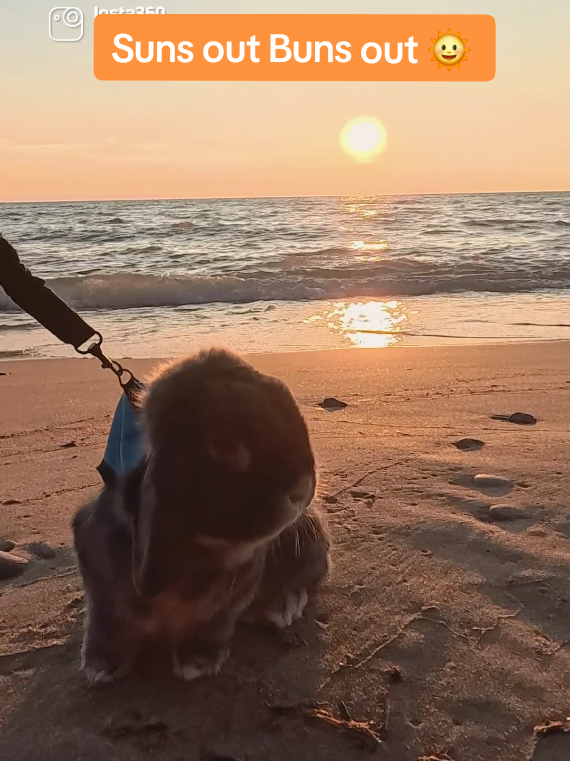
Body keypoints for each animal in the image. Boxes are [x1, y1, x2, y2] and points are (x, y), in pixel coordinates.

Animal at [73, 348, 330, 685]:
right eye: (223, 444)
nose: (304, 488)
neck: (201, 547)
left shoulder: (225, 602)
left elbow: (210, 623)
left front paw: (197, 662)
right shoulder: (101, 583)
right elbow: (108, 621)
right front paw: (101, 665)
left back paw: (280, 607)